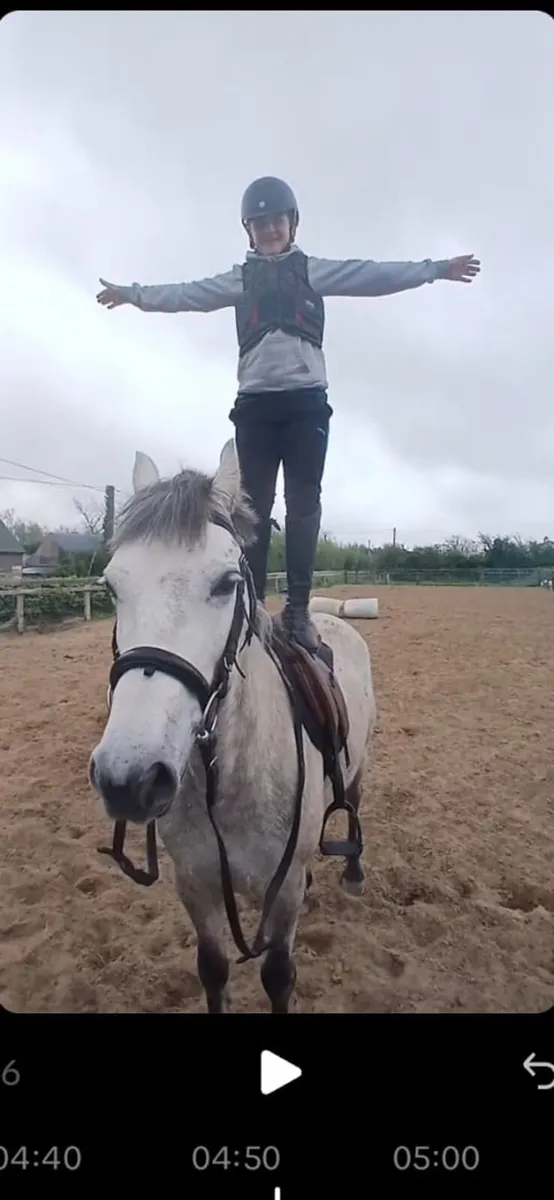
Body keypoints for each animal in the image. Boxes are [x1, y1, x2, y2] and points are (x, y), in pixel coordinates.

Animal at [89, 438, 377, 1013]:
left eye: (228, 583)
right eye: (111, 586)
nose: (130, 779)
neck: (227, 781)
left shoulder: (282, 894)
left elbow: (278, 976)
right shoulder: (195, 885)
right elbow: (214, 970)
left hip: (357, 767)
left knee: (352, 800)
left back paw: (353, 873)